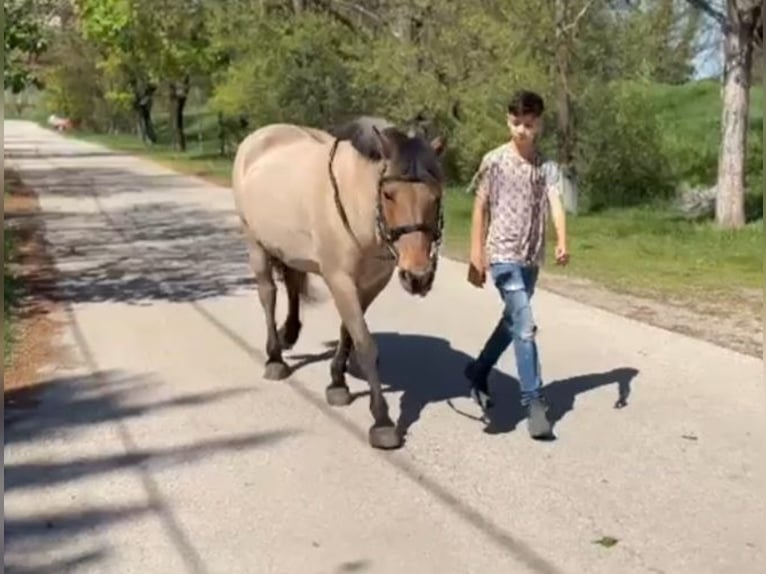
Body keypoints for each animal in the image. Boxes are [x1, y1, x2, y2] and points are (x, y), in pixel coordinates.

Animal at [232, 116, 447, 449]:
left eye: (436, 196)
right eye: (389, 194)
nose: (418, 276)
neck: (358, 203)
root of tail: (260, 138)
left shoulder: (370, 284)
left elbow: (349, 332)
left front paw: (337, 382)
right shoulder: (340, 280)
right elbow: (365, 344)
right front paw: (382, 421)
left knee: (292, 283)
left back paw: (289, 334)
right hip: (255, 243)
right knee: (268, 295)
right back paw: (275, 358)